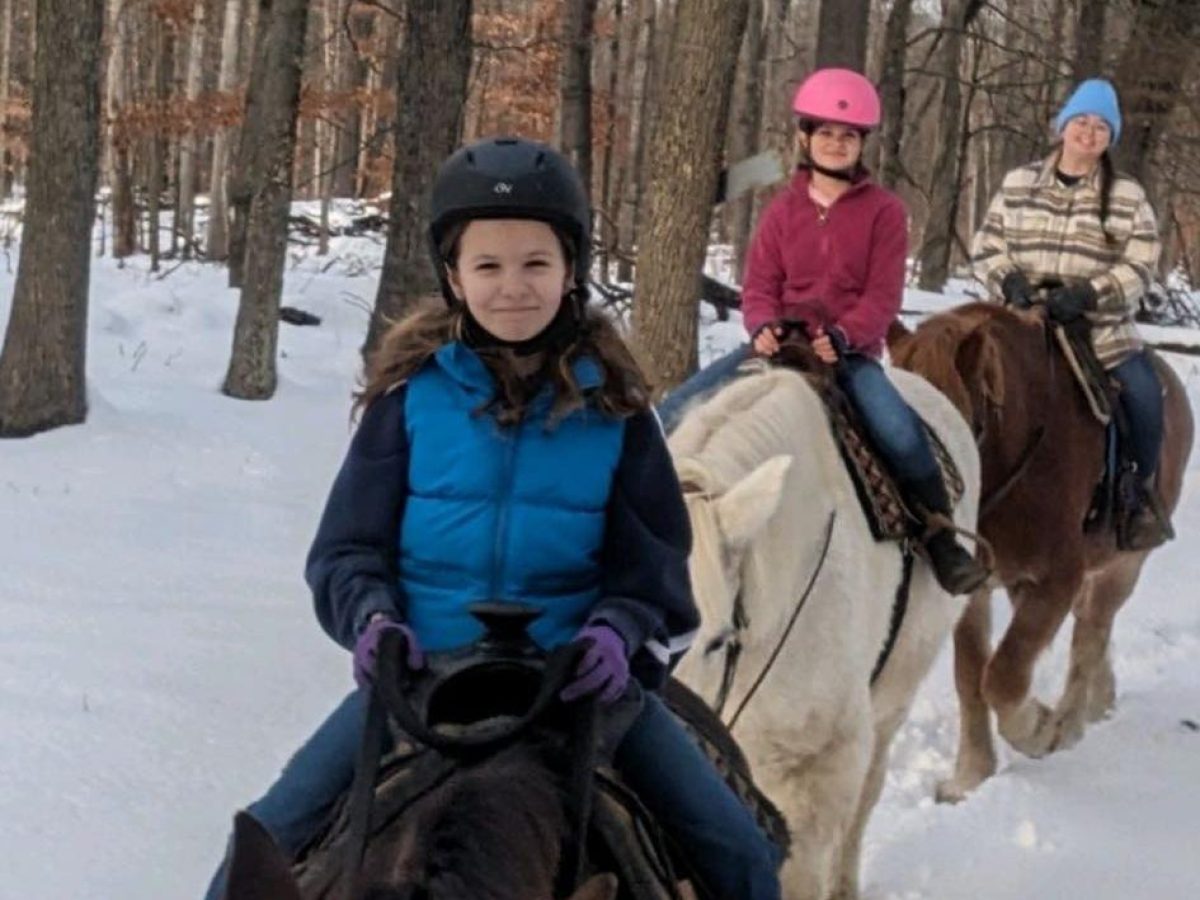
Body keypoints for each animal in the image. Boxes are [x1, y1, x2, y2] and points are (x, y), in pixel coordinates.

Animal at [887, 302, 1193, 801]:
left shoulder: (1057, 579)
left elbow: (1003, 673)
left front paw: (1040, 730)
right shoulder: (977, 586)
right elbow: (971, 675)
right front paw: (970, 776)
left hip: (1123, 566)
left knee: (1091, 633)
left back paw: (1072, 720)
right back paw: (1100, 701)